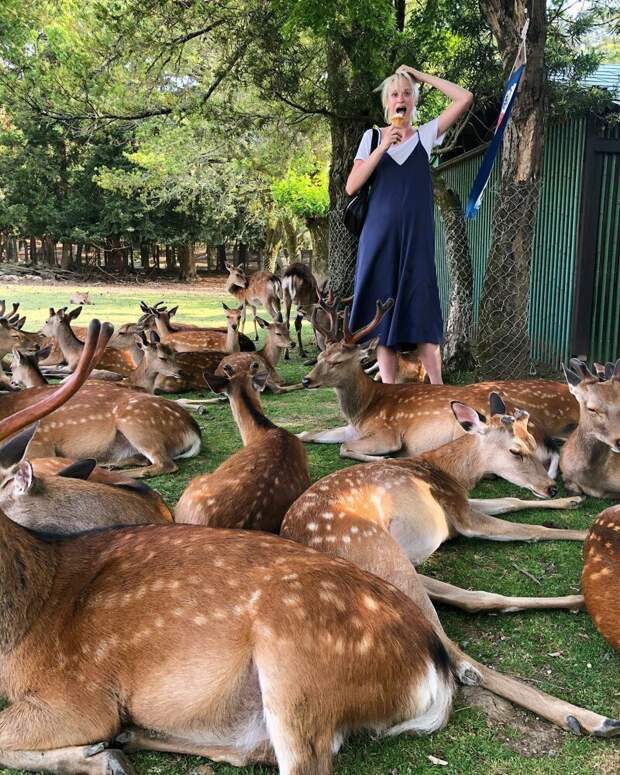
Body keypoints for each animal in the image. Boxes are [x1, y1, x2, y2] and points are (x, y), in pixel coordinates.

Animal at [298, 302, 580, 472]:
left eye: (337, 361)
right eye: (320, 356)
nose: (306, 380)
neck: (364, 409)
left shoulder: (387, 433)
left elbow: (345, 448)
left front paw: (384, 458)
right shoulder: (352, 429)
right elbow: (310, 434)